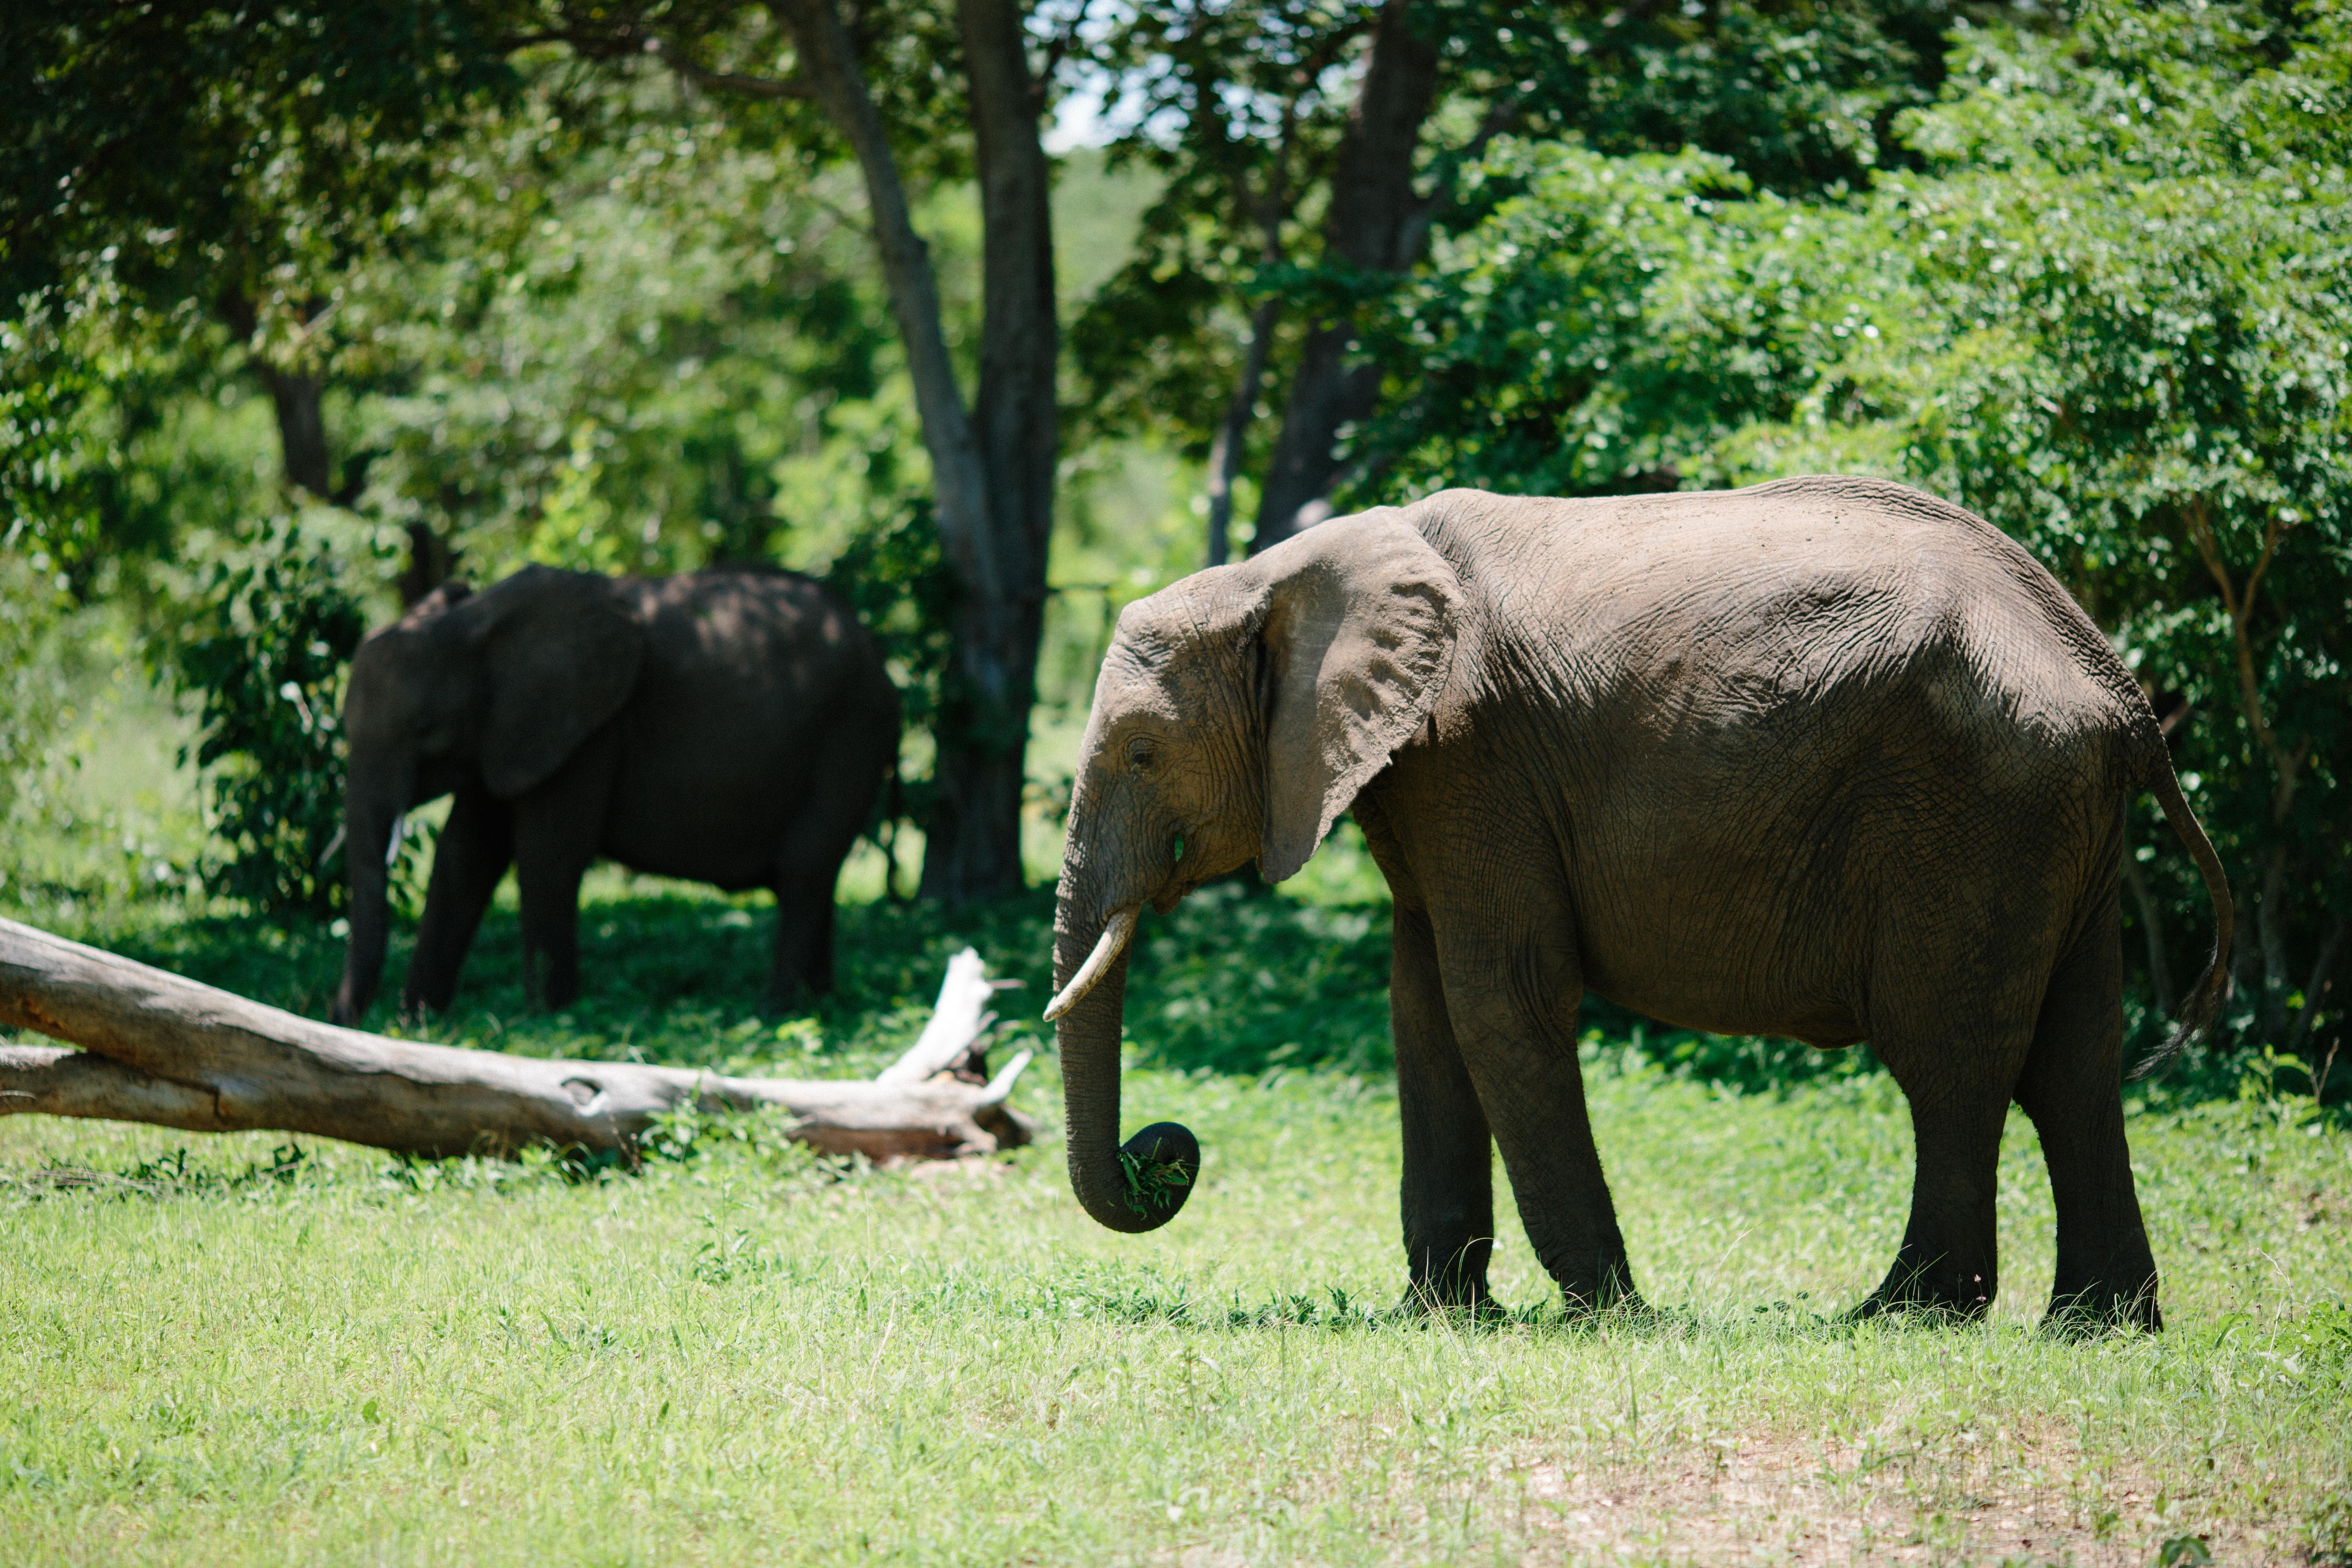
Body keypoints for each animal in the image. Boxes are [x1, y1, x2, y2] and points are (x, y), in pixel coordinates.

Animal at [336, 557, 903, 1025]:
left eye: (424, 727)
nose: (348, 1021)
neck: (473, 623)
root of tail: (877, 654)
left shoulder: (587, 729)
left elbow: (547, 856)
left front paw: (547, 1022)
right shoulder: (504, 733)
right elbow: (465, 857)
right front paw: (420, 1024)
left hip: (850, 737)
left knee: (804, 870)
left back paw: (776, 1013)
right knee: (813, 879)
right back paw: (818, 1003)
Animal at [1044, 472, 2220, 1335]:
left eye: (1141, 751)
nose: (1166, 1149)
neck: (1282, 575)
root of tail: (2118, 689)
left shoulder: (1473, 758)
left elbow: (1498, 1001)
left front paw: (1609, 1317)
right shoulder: (1429, 781)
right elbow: (1423, 1006)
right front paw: (1444, 1316)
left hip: (1976, 809)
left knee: (1951, 1056)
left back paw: (1900, 1317)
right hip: (2053, 823)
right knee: (2076, 1061)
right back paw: (2098, 1327)